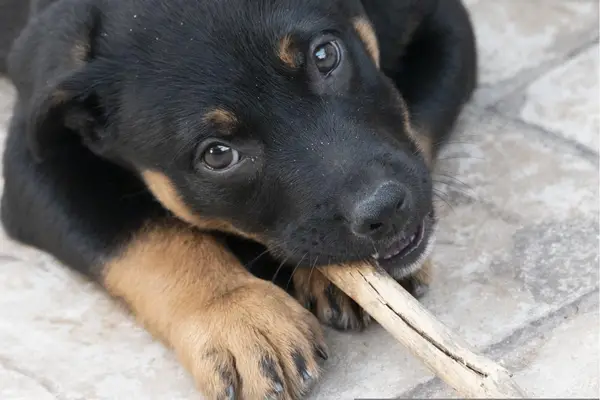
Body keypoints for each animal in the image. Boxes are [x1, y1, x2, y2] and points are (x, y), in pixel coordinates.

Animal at [1, 0, 478, 398]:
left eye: (325, 55)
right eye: (217, 155)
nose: (385, 210)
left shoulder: (442, 22)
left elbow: (414, 116)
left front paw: (327, 277)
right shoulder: (32, 160)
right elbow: (149, 237)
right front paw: (239, 317)